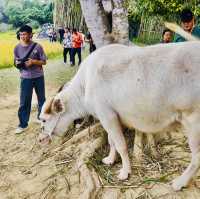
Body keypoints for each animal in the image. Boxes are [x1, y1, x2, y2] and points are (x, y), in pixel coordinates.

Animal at [39, 40, 200, 191]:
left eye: (44, 120)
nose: (40, 139)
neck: (85, 86)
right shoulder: (111, 118)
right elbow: (112, 141)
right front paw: (110, 159)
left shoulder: (107, 115)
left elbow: (121, 145)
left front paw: (125, 172)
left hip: (194, 124)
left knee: (197, 157)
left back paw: (179, 183)